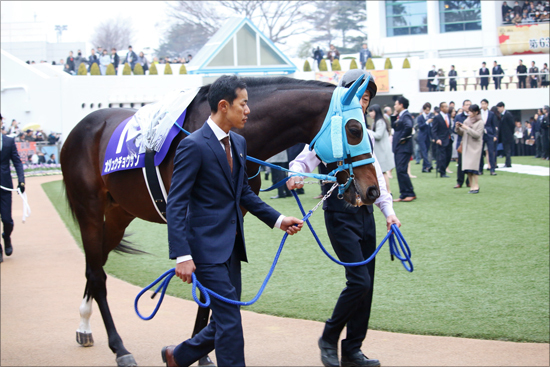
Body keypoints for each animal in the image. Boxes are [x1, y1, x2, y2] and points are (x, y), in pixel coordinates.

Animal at [60, 76, 380, 366]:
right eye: (354, 129)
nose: (372, 190)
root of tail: (79, 128)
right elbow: (207, 286)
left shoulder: (234, 218)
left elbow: (219, 292)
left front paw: (200, 353)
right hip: (89, 209)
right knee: (97, 274)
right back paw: (119, 348)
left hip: (119, 213)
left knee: (95, 265)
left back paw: (84, 325)